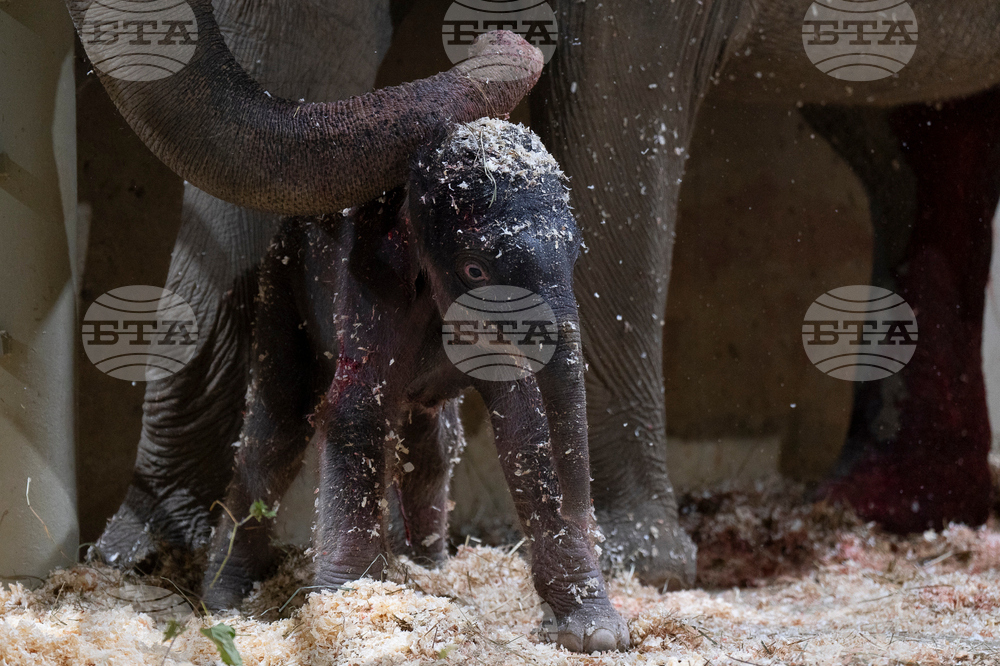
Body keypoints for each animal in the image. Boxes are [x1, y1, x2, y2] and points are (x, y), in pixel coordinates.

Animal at [71, 0, 1000, 594]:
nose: (502, 35)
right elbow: (285, 53)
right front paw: (131, 564)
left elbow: (619, 92)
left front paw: (636, 566)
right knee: (912, 143)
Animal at [202, 117, 629, 652]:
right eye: (474, 269)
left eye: (574, 255)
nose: (587, 516)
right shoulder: (369, 286)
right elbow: (357, 410)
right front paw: (348, 613)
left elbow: (530, 427)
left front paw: (597, 634)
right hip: (281, 283)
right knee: (275, 430)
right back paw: (223, 600)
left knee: (433, 442)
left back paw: (430, 569)